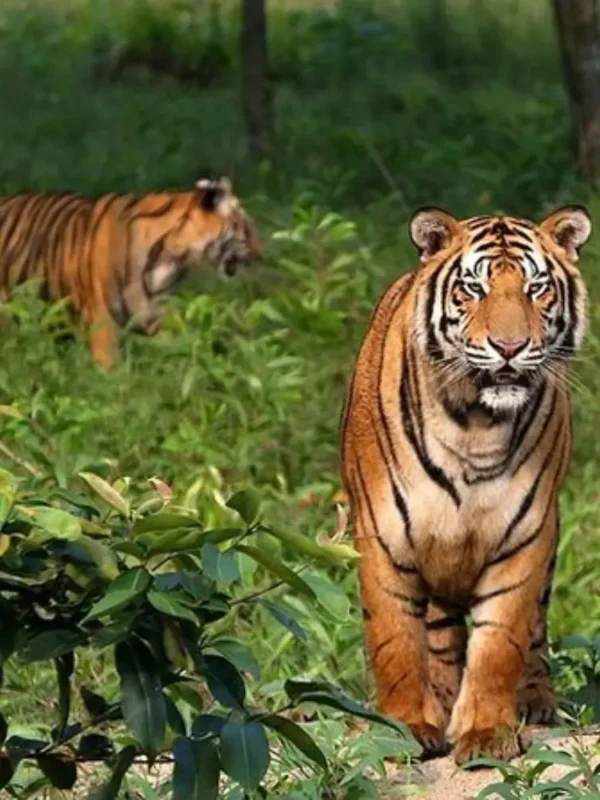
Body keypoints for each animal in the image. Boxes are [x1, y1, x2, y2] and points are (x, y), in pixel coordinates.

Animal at [340, 205, 592, 764]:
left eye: (536, 288)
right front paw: (405, 727)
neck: (475, 424)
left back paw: (535, 701)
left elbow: (500, 642)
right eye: (473, 288)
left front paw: (487, 733)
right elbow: (394, 639)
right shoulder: (383, 536)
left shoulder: (525, 537)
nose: (510, 347)